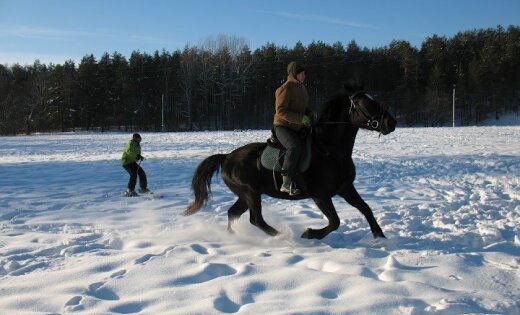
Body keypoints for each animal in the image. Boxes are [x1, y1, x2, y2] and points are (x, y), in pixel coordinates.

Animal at [185, 82, 396, 241]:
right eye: (365, 103)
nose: (391, 123)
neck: (329, 150)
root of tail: (227, 157)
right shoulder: (320, 195)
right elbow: (335, 222)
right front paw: (310, 233)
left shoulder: (345, 188)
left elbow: (366, 208)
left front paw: (380, 237)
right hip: (250, 193)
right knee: (256, 219)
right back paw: (282, 236)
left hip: (246, 195)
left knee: (233, 213)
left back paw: (233, 237)